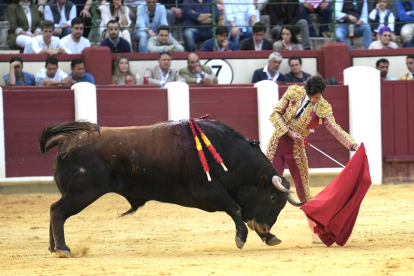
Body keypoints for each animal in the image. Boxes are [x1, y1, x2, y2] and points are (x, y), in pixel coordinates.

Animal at [39, 119, 300, 258]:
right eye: (273, 199)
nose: (265, 227)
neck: (228, 155)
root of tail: (66, 140)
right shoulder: (208, 191)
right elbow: (235, 209)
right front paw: (241, 238)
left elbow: (242, 212)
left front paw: (270, 237)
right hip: (82, 193)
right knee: (58, 212)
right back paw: (63, 249)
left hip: (76, 193)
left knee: (53, 209)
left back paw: (53, 248)